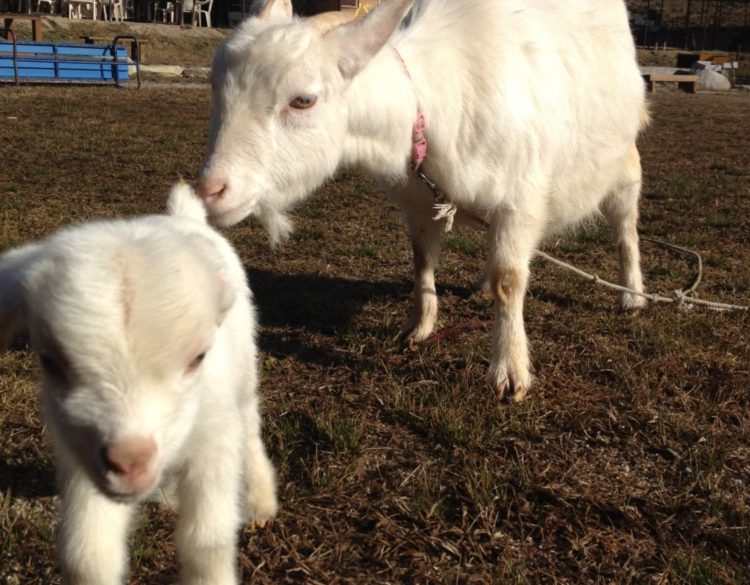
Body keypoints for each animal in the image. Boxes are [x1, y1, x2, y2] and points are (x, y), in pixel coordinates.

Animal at [200, 0, 652, 402]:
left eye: (303, 100)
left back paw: (632, 296)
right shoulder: (418, 200)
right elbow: (421, 260)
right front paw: (418, 328)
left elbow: (510, 281)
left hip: (624, 165)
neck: (428, 111)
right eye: (216, 90)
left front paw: (510, 373)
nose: (211, 191)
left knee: (625, 229)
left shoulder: (520, 199)